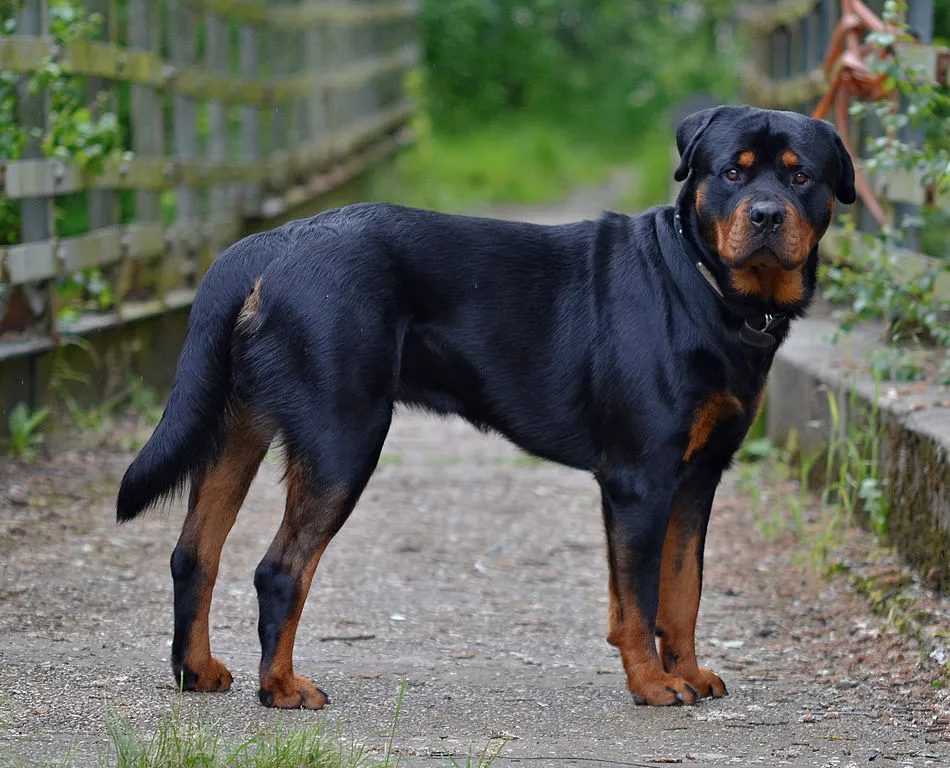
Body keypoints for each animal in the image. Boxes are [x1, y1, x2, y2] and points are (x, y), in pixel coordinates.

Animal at [117, 103, 856, 708]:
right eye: (733, 172)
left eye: (800, 178)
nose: (766, 216)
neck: (706, 288)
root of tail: (266, 246)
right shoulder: (640, 478)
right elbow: (639, 599)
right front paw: (653, 685)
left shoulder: (698, 475)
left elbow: (682, 590)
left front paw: (690, 673)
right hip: (342, 437)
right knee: (279, 570)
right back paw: (282, 688)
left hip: (236, 428)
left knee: (195, 554)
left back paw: (196, 671)